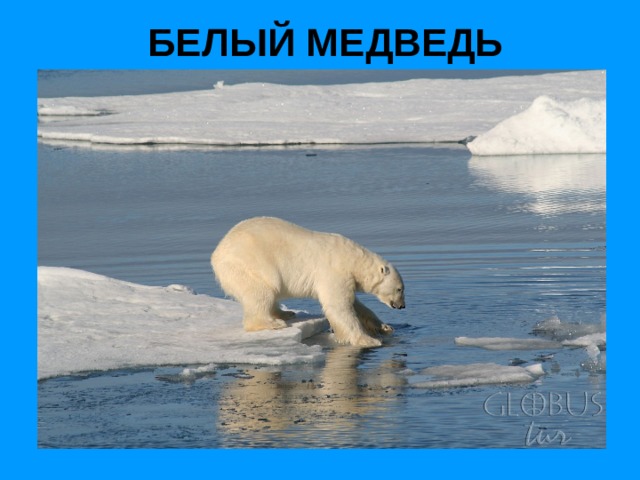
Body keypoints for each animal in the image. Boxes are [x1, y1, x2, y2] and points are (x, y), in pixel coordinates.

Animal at [211, 216, 405, 348]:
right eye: (399, 289)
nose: (402, 306)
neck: (353, 258)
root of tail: (216, 254)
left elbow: (355, 304)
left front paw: (384, 327)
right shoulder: (334, 271)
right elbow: (338, 306)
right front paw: (368, 340)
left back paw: (285, 314)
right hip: (249, 265)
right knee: (261, 291)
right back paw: (273, 323)